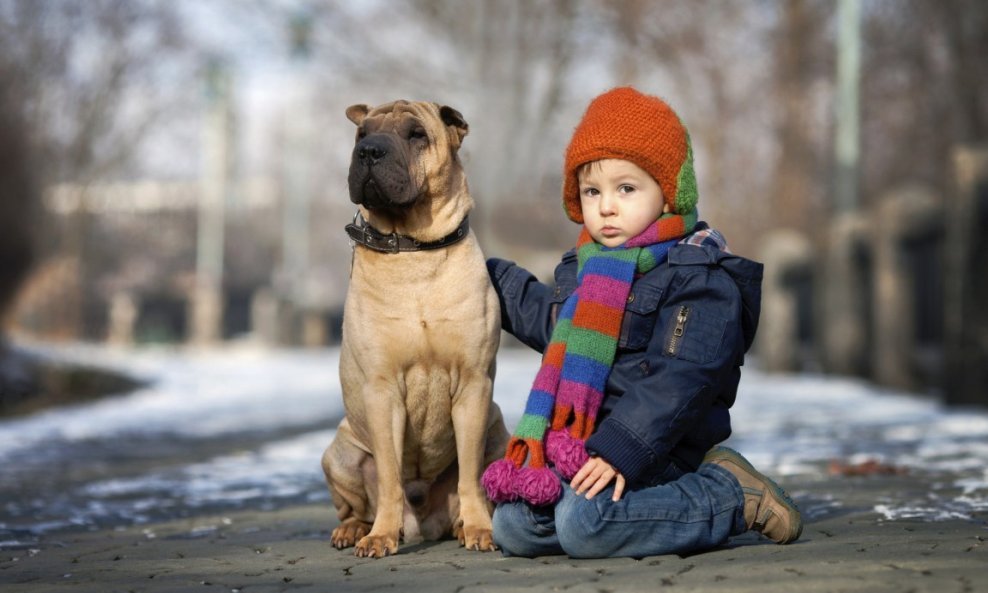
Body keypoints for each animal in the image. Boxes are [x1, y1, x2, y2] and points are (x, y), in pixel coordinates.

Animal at [322, 99, 510, 556]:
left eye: (416, 134)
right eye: (361, 133)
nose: (369, 151)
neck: (413, 251)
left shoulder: (473, 385)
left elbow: (470, 475)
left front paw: (480, 529)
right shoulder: (383, 389)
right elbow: (390, 476)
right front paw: (380, 537)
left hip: (498, 434)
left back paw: (461, 526)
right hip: (340, 454)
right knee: (354, 506)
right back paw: (353, 530)